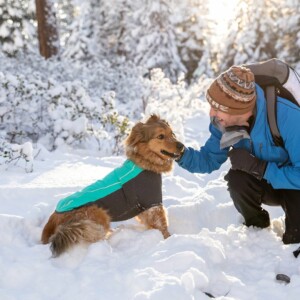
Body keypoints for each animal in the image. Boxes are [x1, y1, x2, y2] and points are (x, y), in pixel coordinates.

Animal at [41, 113, 184, 256]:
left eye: (172, 133)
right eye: (160, 136)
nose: (182, 146)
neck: (145, 161)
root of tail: (52, 220)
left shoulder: (145, 208)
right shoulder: (153, 204)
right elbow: (162, 225)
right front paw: (168, 239)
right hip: (97, 215)